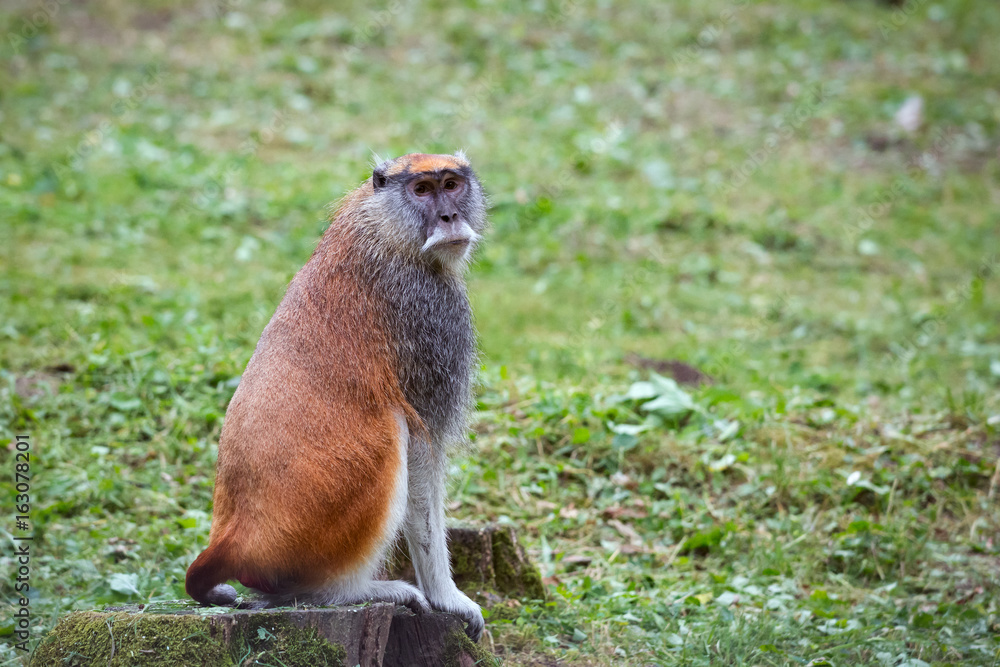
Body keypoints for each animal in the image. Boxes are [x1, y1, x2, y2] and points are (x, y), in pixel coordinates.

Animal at [184, 152, 487, 641]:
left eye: (451, 185)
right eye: (422, 190)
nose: (449, 218)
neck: (382, 227)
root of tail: (232, 541)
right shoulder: (431, 314)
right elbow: (424, 452)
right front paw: (449, 598)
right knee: (392, 429)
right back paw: (350, 591)